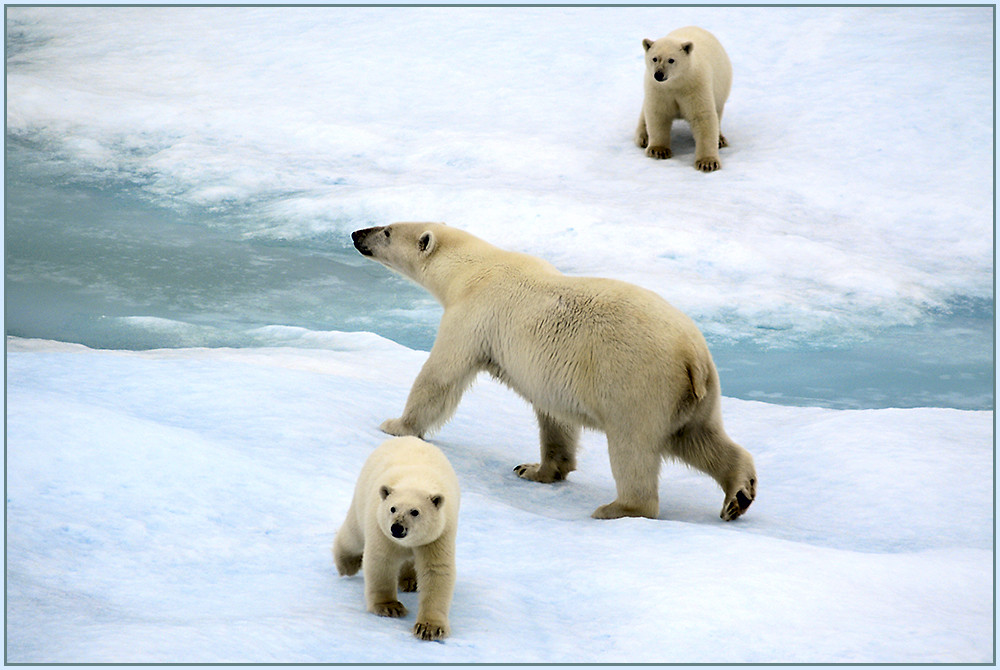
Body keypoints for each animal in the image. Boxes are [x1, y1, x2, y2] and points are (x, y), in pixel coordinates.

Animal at [336, 438, 460, 644]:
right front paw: (390, 607)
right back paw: (346, 564)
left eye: (415, 511)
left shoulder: (439, 534)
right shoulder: (381, 527)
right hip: (363, 496)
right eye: (393, 508)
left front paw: (429, 628)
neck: (416, 480)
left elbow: (436, 570)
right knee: (354, 534)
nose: (397, 528)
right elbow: (381, 560)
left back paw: (409, 580)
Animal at [356, 223, 752, 524]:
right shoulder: (550, 375)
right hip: (694, 395)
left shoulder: (473, 315)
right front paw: (535, 469)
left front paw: (396, 425)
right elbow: (554, 417)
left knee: (633, 447)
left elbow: (441, 375)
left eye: (387, 231)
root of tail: (692, 354)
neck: (473, 267)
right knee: (700, 439)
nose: (357, 233)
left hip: (638, 381)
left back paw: (618, 508)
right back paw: (739, 494)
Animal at [636, 25, 732, 173]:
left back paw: (720, 139)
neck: (676, 83)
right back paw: (644, 138)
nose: (659, 74)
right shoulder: (659, 90)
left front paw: (707, 163)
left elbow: (703, 117)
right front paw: (658, 150)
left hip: (721, 87)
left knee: (718, 112)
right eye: (654, 58)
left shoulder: (695, 86)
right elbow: (658, 113)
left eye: (671, 60)